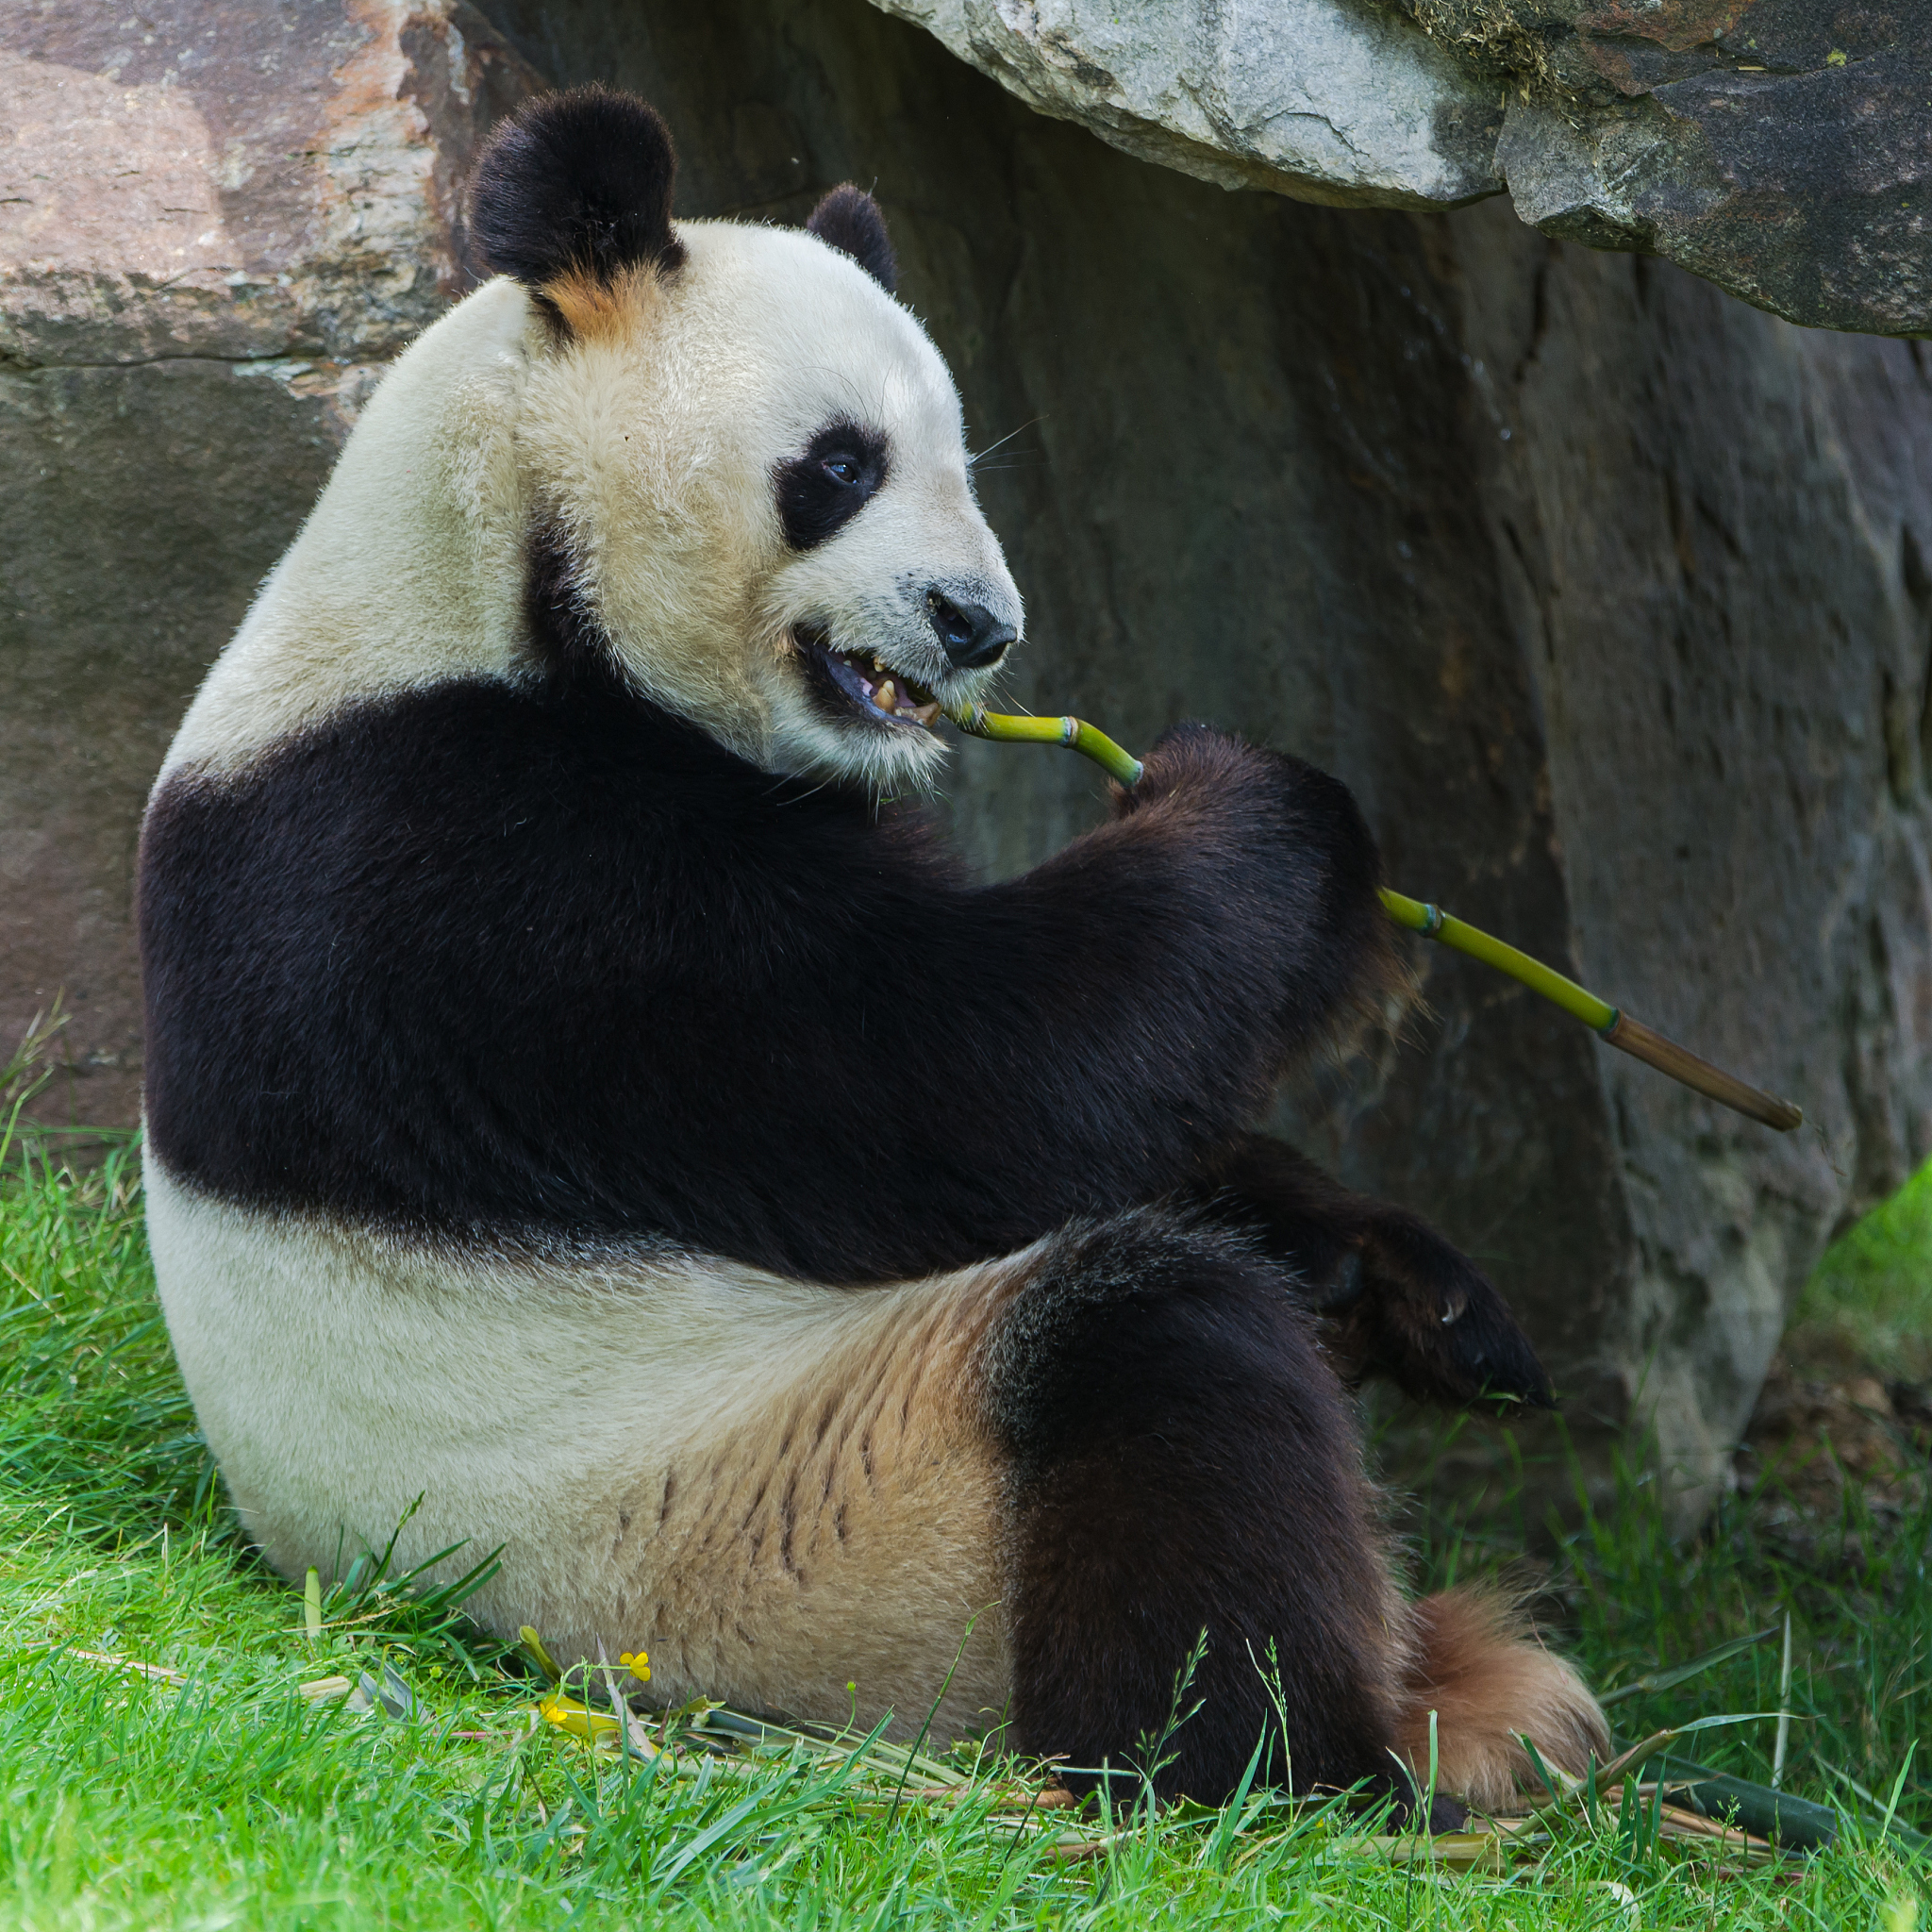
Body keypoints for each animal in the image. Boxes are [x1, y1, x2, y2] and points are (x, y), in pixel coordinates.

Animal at [138, 86, 1606, 1815]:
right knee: (1141, 1351)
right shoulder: (473, 879)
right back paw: (1313, 1757)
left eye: (957, 458)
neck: (483, 573)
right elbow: (977, 1081)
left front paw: (1417, 1288)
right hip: (793, 1539)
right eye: (839, 465)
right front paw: (1267, 809)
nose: (976, 625)